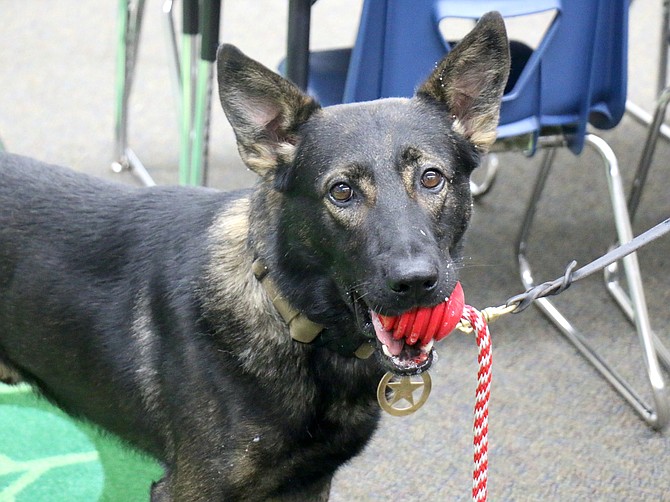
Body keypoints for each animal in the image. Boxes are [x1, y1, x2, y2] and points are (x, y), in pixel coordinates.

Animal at [0, 12, 510, 502]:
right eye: (341, 191)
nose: (416, 282)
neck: (290, 315)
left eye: (431, 178)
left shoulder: (309, 483)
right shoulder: (189, 488)